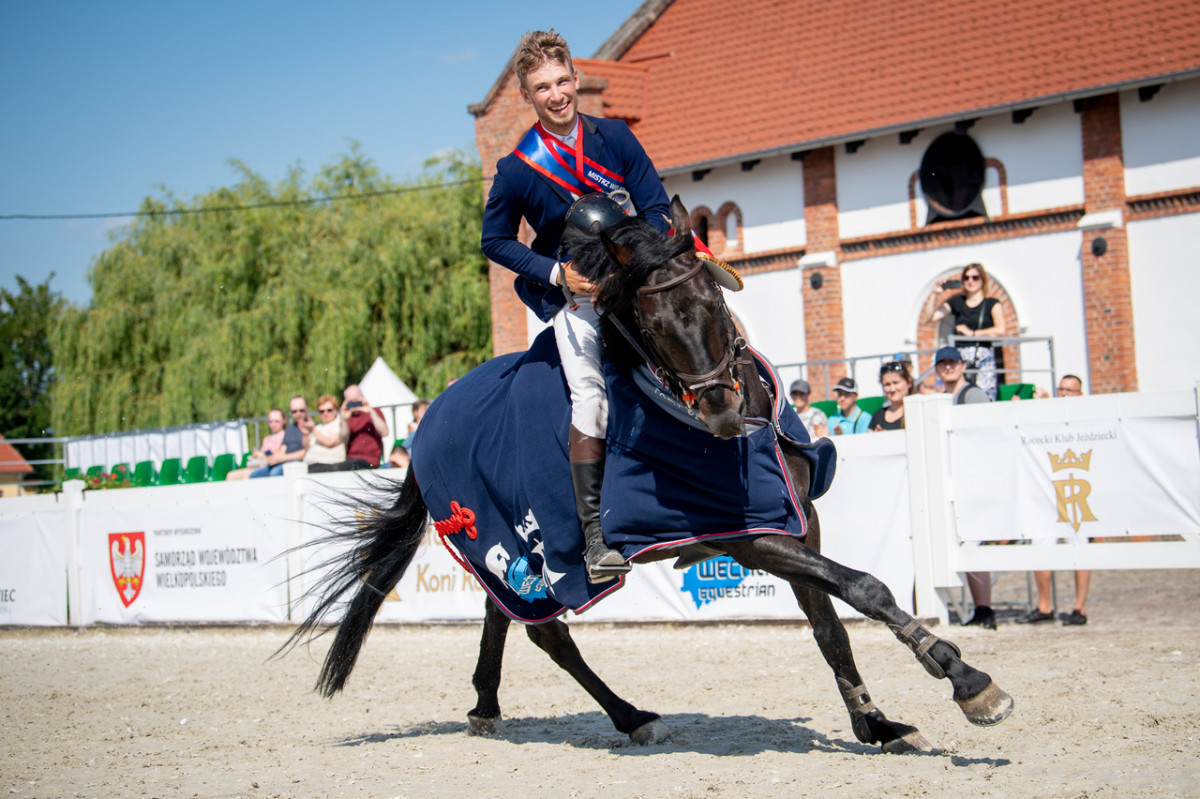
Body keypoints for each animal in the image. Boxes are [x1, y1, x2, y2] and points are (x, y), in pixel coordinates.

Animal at [290, 195, 1012, 748]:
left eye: (714, 304)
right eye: (649, 323)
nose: (721, 412)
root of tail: (429, 422)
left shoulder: (797, 520)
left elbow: (832, 624)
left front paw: (877, 723)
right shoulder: (747, 534)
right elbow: (864, 587)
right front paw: (967, 681)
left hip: (510, 546)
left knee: (511, 618)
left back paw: (491, 707)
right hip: (509, 542)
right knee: (546, 632)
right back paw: (627, 715)